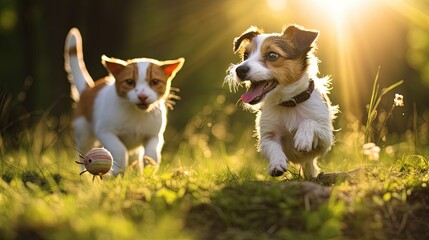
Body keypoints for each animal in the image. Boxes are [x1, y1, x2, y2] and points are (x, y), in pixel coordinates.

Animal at [64, 28, 184, 175]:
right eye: (130, 82)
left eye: (154, 82)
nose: (142, 96)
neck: (136, 113)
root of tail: (89, 88)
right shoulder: (105, 132)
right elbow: (119, 150)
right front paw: (117, 172)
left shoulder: (154, 135)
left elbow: (151, 153)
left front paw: (149, 171)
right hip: (83, 133)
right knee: (83, 153)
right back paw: (86, 178)